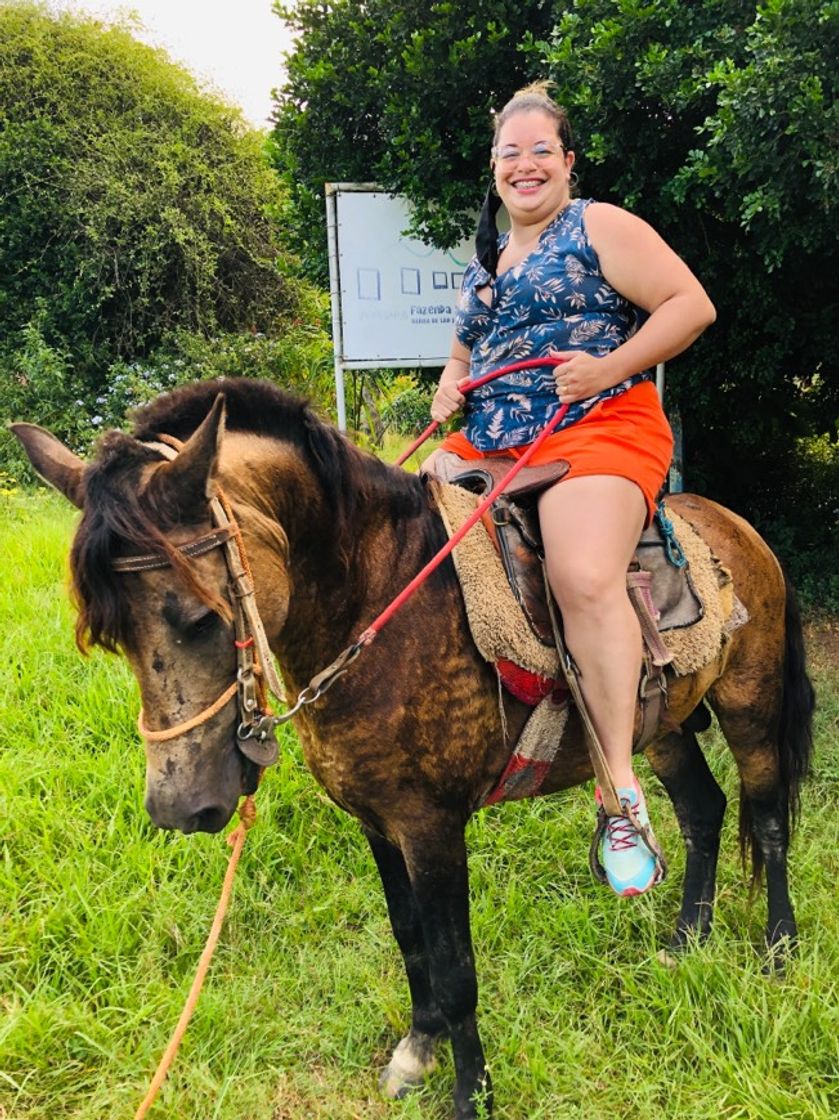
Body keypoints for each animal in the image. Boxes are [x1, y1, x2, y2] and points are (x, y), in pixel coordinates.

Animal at [11, 378, 810, 1120]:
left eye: (199, 617)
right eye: (110, 638)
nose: (180, 807)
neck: (377, 603)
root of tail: (737, 528)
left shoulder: (431, 827)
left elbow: (456, 968)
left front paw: (471, 1093)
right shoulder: (375, 819)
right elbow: (409, 938)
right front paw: (419, 1051)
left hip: (749, 703)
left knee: (768, 817)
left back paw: (778, 948)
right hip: (663, 726)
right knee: (703, 812)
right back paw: (687, 939)